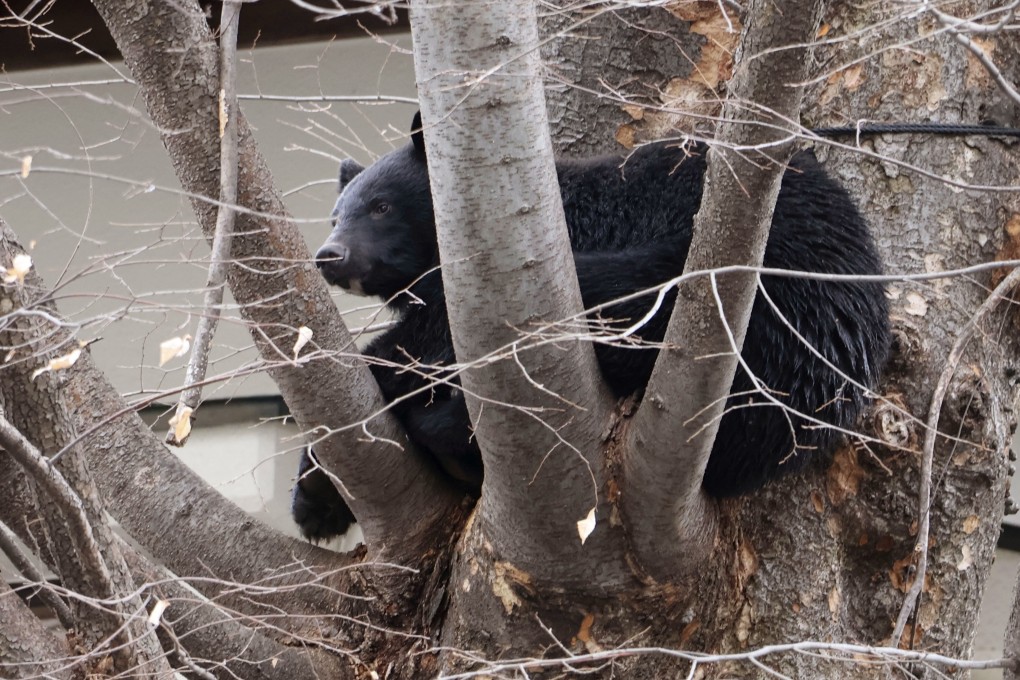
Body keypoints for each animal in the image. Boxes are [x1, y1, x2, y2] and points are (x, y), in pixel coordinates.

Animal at [291, 113, 891, 542]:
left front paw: (315, 493)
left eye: (381, 206)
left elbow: (420, 341)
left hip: (736, 284)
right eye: (336, 215)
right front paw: (317, 501)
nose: (329, 255)